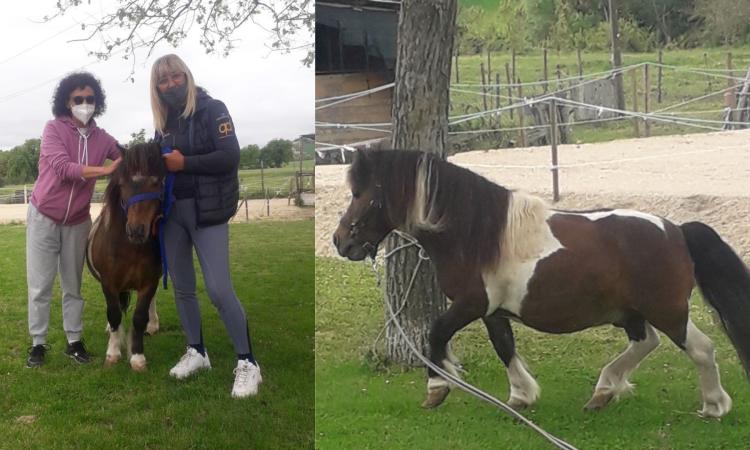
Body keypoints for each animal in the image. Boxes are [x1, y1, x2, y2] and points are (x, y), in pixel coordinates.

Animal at [86, 141, 164, 371]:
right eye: (122, 184)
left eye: (156, 182)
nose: (136, 230)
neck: (130, 248)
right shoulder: (109, 283)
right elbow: (114, 314)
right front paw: (113, 353)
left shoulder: (149, 283)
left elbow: (139, 317)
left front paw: (137, 357)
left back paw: (152, 325)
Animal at [333, 149, 750, 418]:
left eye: (361, 194)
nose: (341, 242)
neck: (474, 233)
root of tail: (676, 230)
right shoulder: (493, 311)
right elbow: (504, 347)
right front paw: (520, 396)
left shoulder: (469, 304)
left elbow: (435, 335)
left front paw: (437, 389)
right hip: (631, 312)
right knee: (645, 342)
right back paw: (603, 392)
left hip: (667, 309)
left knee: (700, 348)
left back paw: (714, 405)